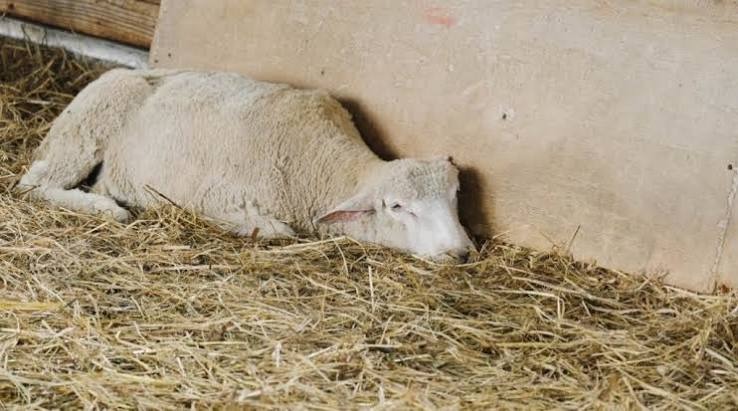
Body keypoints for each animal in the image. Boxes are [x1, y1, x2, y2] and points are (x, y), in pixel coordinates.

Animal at [17, 68, 475, 261]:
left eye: (456, 195)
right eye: (398, 207)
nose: (461, 252)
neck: (319, 166)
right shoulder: (221, 198)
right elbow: (278, 231)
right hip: (86, 129)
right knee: (34, 185)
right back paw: (106, 208)